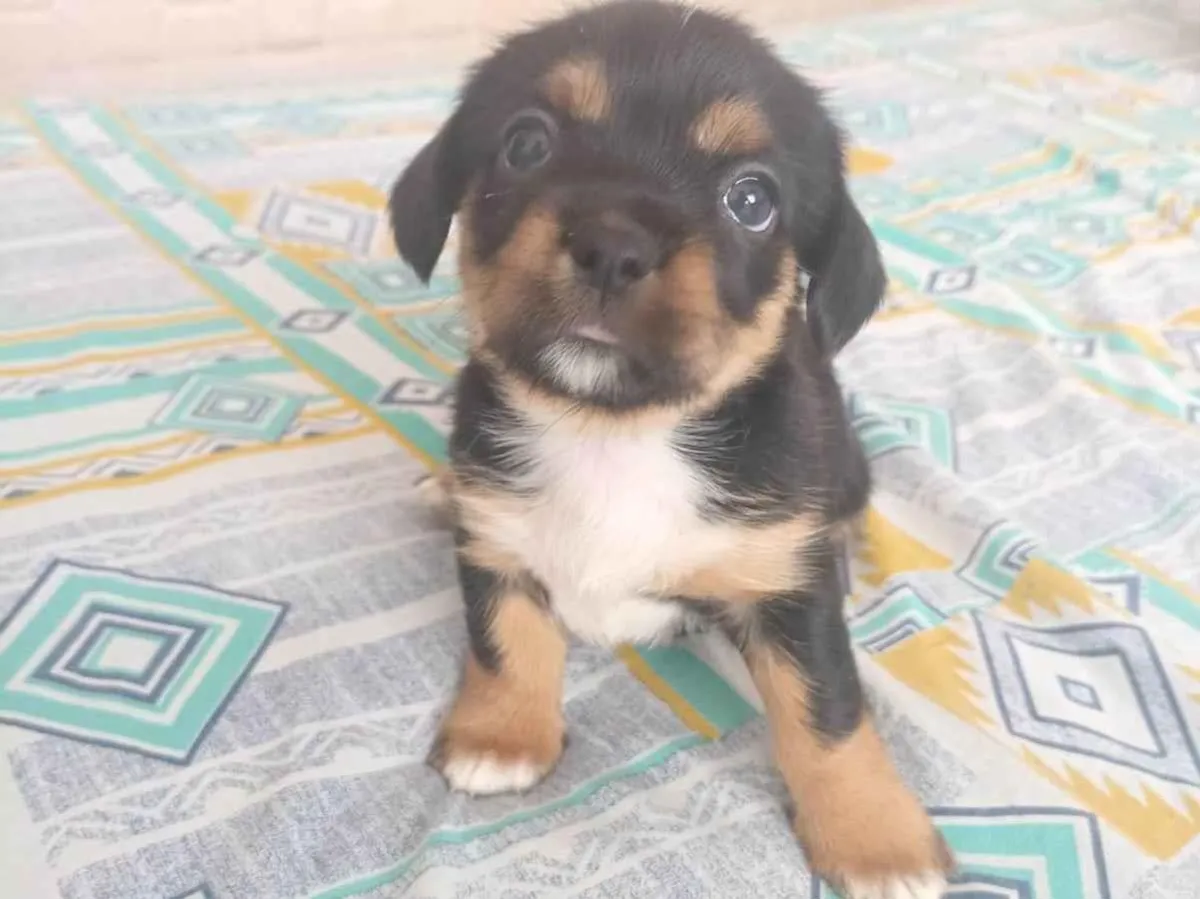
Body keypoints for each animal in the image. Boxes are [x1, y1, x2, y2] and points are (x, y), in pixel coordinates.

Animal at [389, 3, 953, 897]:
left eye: (751, 200)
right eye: (526, 144)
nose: (613, 247)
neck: (613, 435)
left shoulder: (790, 601)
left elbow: (827, 714)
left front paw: (877, 841)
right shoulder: (496, 537)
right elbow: (505, 639)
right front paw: (502, 736)